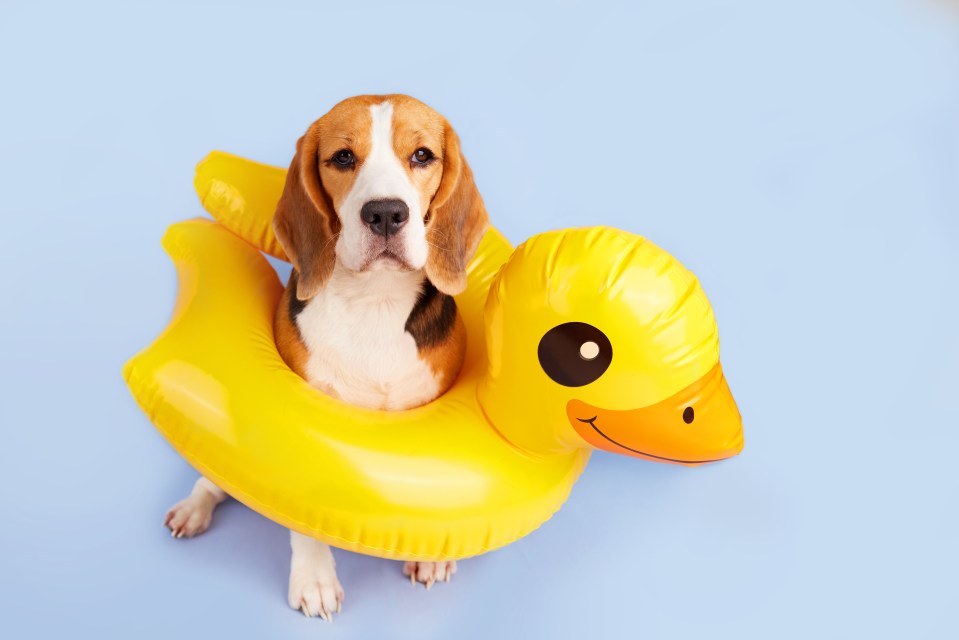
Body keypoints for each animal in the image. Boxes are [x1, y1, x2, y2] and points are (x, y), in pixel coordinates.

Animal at [163, 95, 488, 620]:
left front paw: (431, 554)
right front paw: (314, 579)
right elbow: (305, 516)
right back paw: (193, 510)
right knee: (212, 483)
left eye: (422, 155)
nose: (385, 214)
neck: (375, 299)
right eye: (342, 158)